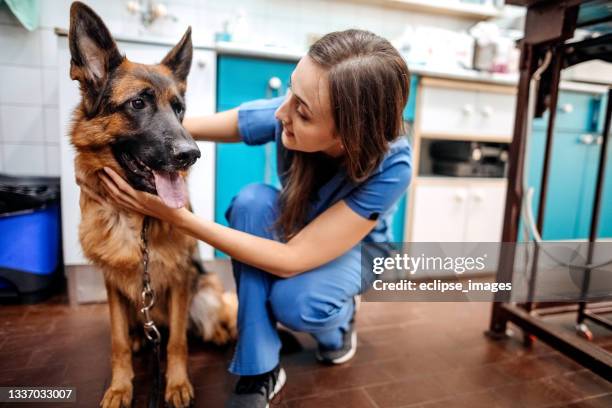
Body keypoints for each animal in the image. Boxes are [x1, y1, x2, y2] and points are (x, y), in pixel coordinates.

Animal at [68, 1, 237, 406]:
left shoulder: (179, 279)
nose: (191, 155)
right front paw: (119, 387)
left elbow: (176, 342)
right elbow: (117, 343)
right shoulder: (112, 283)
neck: (137, 220)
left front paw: (175, 385)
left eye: (179, 109)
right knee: (134, 333)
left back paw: (220, 333)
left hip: (204, 291)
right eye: (138, 103)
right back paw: (138, 340)